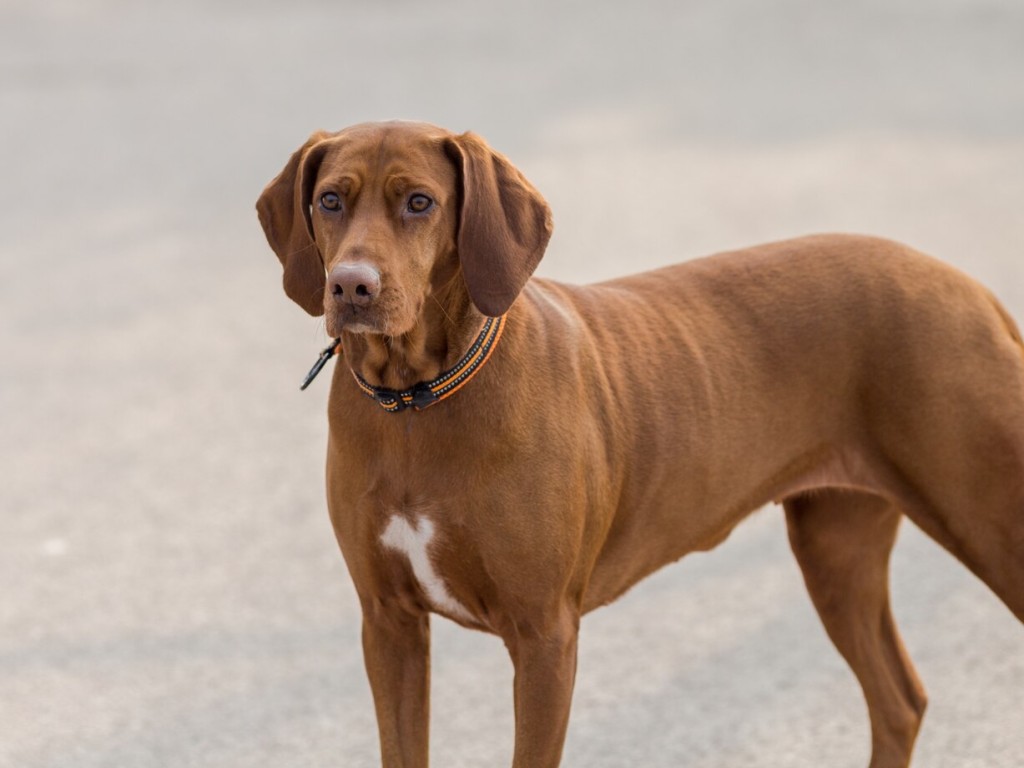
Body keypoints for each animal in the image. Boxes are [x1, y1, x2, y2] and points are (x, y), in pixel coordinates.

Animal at [256, 121, 1024, 768]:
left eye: (420, 202)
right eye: (329, 200)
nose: (351, 286)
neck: (419, 398)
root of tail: (974, 291)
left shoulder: (543, 634)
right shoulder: (388, 623)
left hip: (988, 522)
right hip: (835, 547)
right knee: (899, 701)